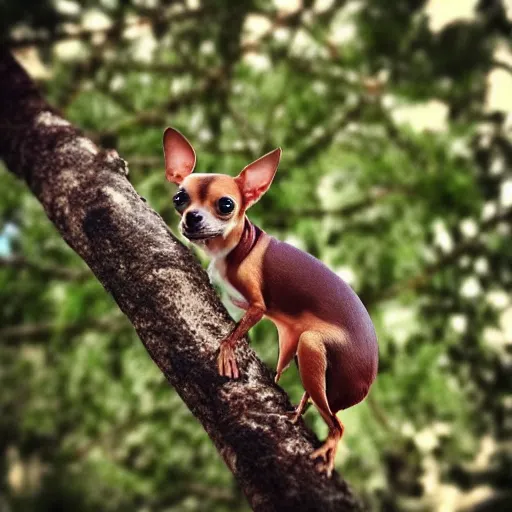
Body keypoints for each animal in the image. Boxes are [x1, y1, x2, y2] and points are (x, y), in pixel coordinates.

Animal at [162, 127, 378, 476]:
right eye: (179, 199)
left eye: (226, 205)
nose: (192, 218)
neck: (234, 247)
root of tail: (367, 382)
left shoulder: (258, 306)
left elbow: (239, 327)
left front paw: (227, 350)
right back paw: (297, 413)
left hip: (314, 346)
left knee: (338, 423)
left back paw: (328, 446)